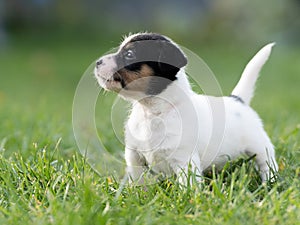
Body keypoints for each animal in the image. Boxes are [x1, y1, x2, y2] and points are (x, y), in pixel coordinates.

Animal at [94, 33, 278, 185]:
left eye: (129, 54)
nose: (97, 62)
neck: (153, 112)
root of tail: (237, 100)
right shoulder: (134, 156)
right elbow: (138, 180)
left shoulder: (184, 160)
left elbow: (187, 187)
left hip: (259, 146)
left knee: (267, 163)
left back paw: (270, 182)